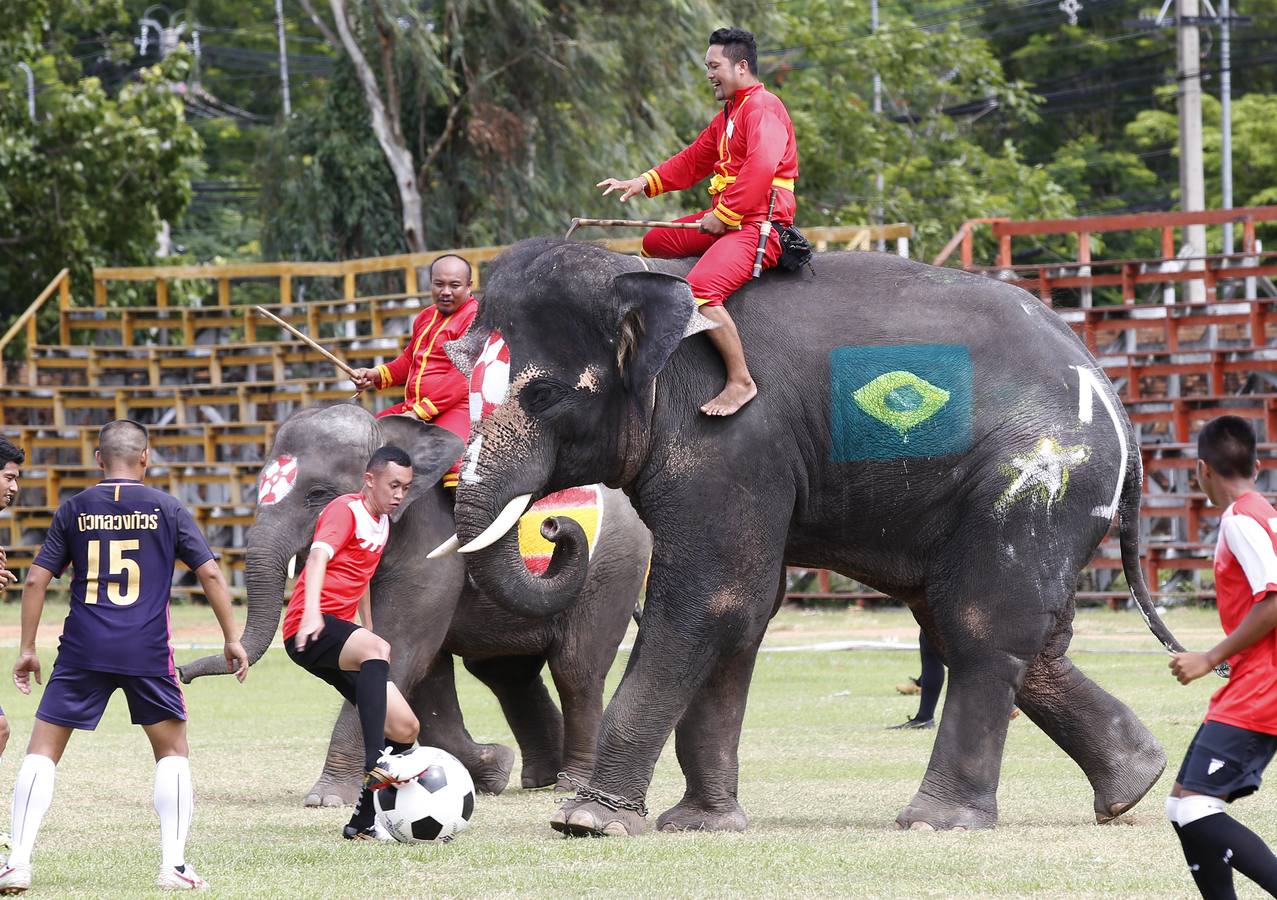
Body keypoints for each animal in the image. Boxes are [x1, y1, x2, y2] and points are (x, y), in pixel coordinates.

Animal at [179, 404, 651, 804]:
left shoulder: (431, 545)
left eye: (318, 494)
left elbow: (401, 649)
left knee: (575, 669)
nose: (182, 673)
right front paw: (491, 768)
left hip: (612, 572)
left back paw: (571, 782)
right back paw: (537, 777)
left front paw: (326, 799)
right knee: (505, 673)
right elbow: (423, 668)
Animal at [435, 237, 1192, 836]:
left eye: (542, 396)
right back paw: (1134, 784)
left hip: (1035, 474)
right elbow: (742, 613)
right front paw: (702, 825)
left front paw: (588, 822)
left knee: (979, 626)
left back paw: (936, 821)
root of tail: (1117, 401)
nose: (556, 524)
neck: (646, 279)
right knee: (1007, 633)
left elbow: (710, 600)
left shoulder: (727, 436)